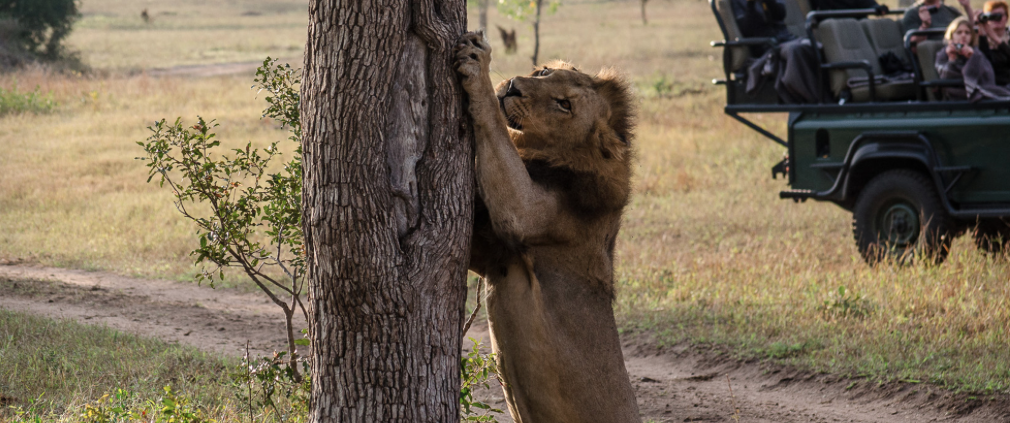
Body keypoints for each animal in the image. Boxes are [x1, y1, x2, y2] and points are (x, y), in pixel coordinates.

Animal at [456, 30, 638, 423]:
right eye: (542, 73)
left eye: (564, 105)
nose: (512, 86)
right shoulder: (493, 256)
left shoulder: (523, 214)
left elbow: (495, 126)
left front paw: (479, 65)